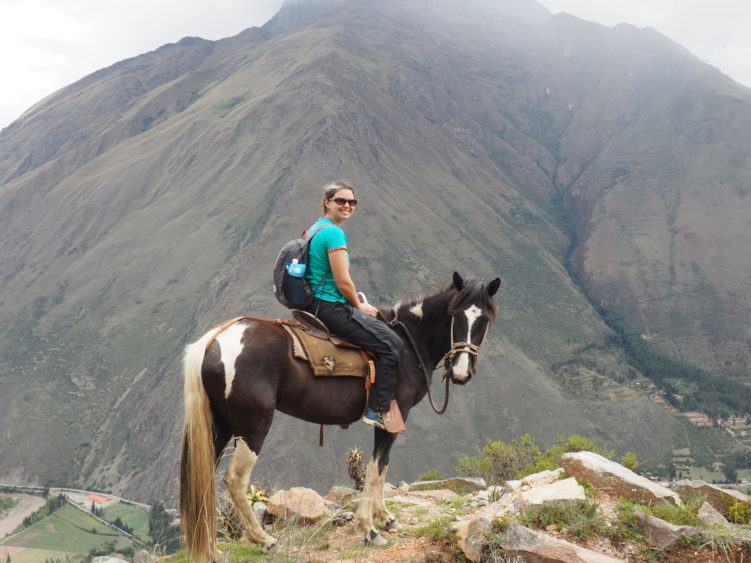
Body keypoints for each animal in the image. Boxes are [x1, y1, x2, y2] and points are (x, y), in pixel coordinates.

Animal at [179, 272, 502, 560]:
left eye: (484, 320)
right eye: (456, 316)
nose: (460, 372)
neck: (409, 342)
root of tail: (214, 340)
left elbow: (382, 468)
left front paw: (385, 518)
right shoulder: (390, 420)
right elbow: (375, 469)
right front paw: (369, 529)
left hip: (219, 426)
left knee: (204, 479)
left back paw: (212, 549)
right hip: (253, 428)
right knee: (235, 480)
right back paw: (265, 541)